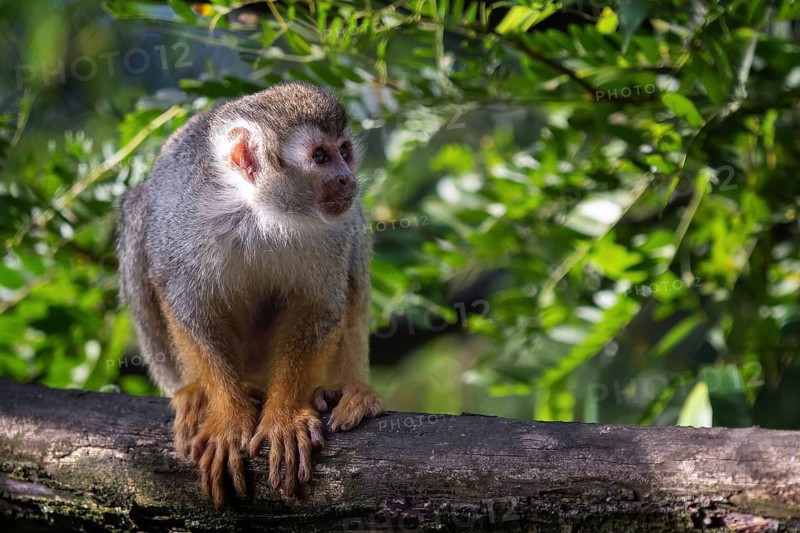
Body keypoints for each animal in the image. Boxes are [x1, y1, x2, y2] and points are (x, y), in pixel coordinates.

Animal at [116, 82, 383, 505]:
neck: (258, 213)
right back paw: (194, 393)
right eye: (320, 156)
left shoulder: (332, 231)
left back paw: (347, 390)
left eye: (344, 151)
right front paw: (228, 416)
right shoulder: (183, 222)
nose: (346, 178)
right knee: (138, 212)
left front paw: (285, 415)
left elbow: (319, 307)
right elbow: (188, 308)